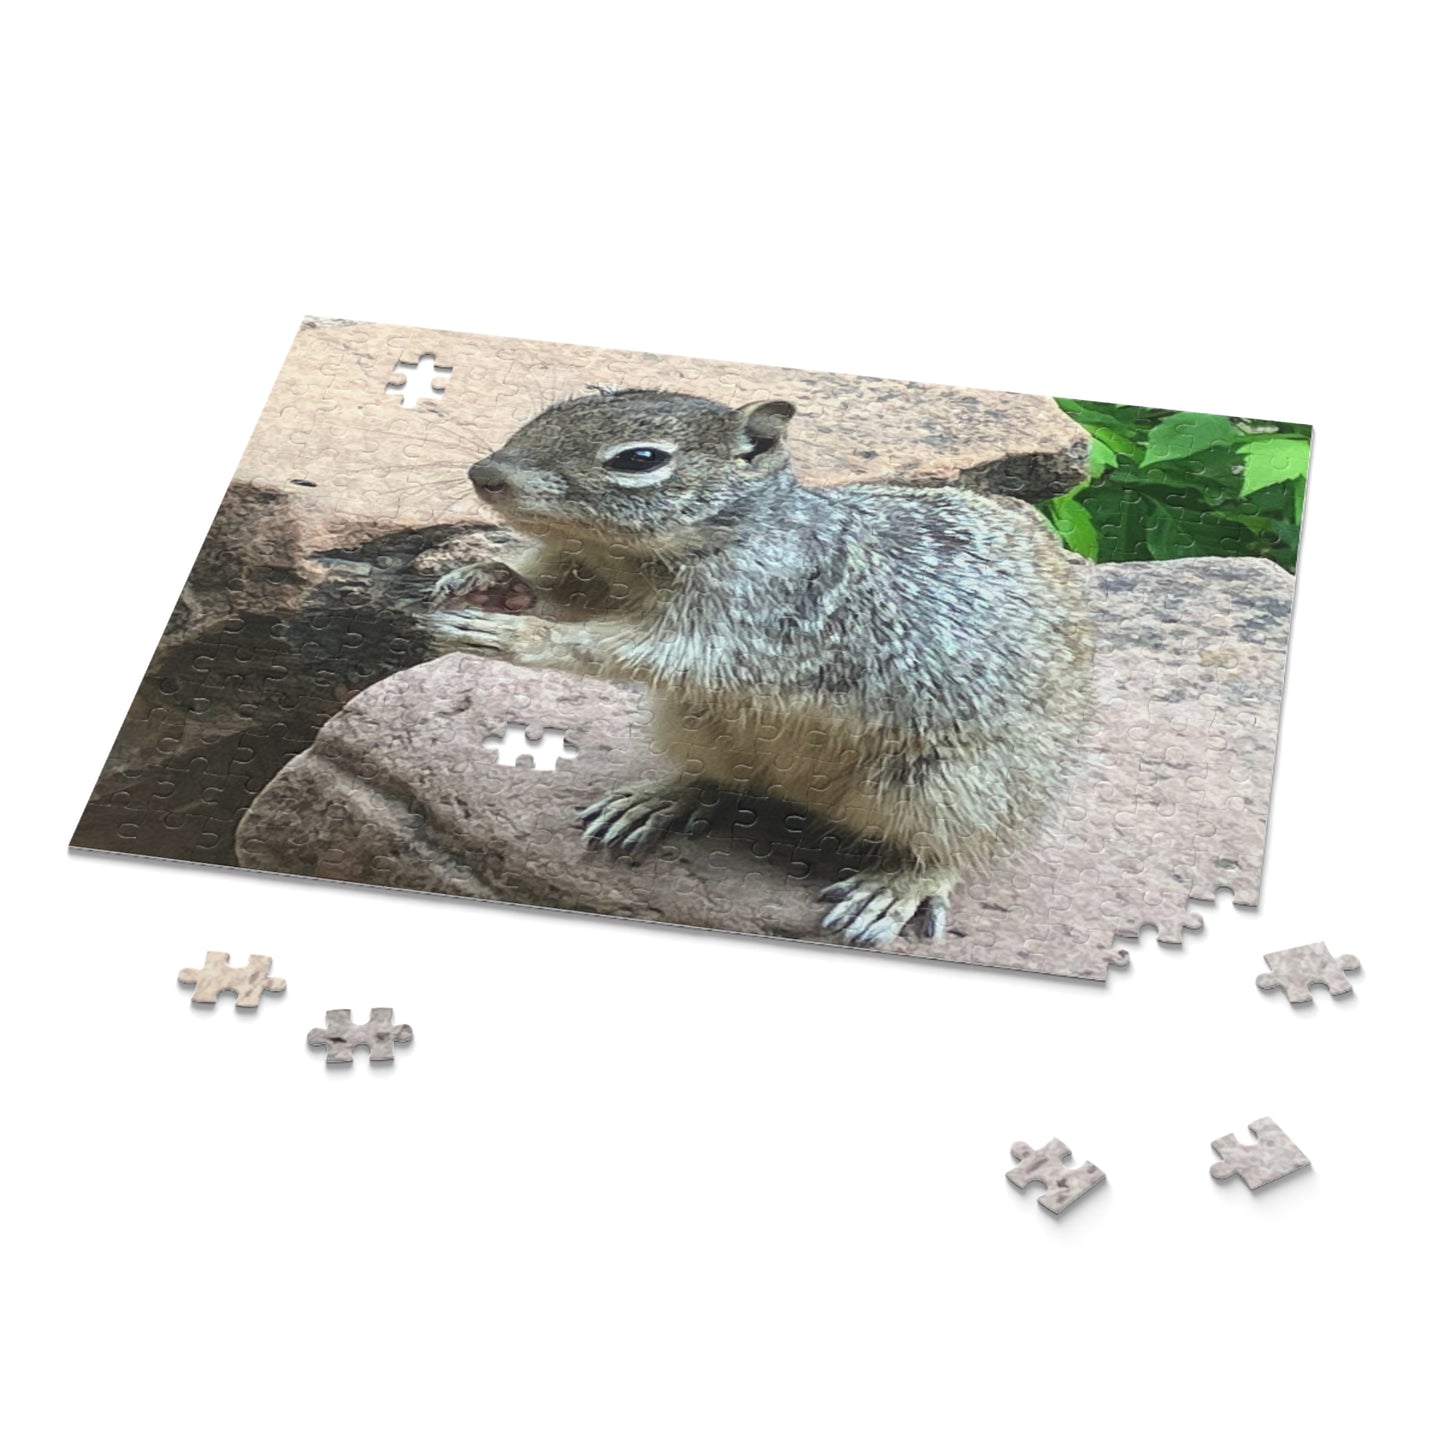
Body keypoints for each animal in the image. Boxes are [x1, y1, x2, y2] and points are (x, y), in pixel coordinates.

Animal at [426, 389, 1093, 949]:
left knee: (961, 848)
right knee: (724, 781)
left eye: (640, 459)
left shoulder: (745, 624)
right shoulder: (589, 574)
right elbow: (558, 592)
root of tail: (801, 794)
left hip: (950, 786)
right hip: (697, 725)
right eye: (552, 408)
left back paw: (896, 889)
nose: (484, 474)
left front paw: (518, 633)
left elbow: (628, 649)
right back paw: (661, 797)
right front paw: (485, 577)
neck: (633, 560)